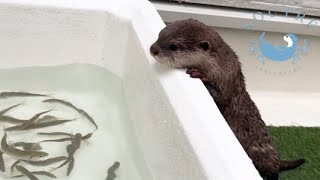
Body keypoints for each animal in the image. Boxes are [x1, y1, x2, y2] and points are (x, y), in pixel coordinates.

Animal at [150, 18, 304, 180]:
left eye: (173, 45)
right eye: (160, 34)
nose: (152, 49)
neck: (219, 65)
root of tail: (276, 159)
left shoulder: (228, 80)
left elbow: (221, 97)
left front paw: (199, 75)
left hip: (262, 154)